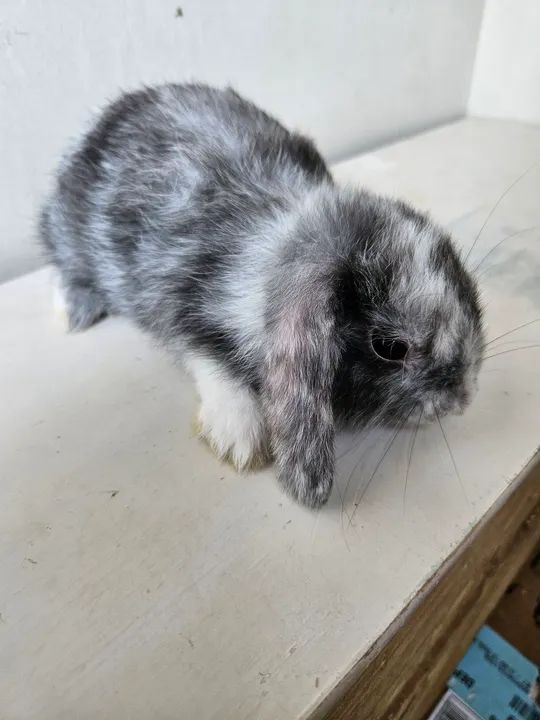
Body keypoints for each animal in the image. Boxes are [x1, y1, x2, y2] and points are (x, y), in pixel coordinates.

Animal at [39, 83, 485, 508]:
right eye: (390, 347)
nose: (463, 399)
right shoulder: (181, 304)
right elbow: (210, 359)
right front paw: (240, 440)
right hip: (68, 235)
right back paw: (71, 313)